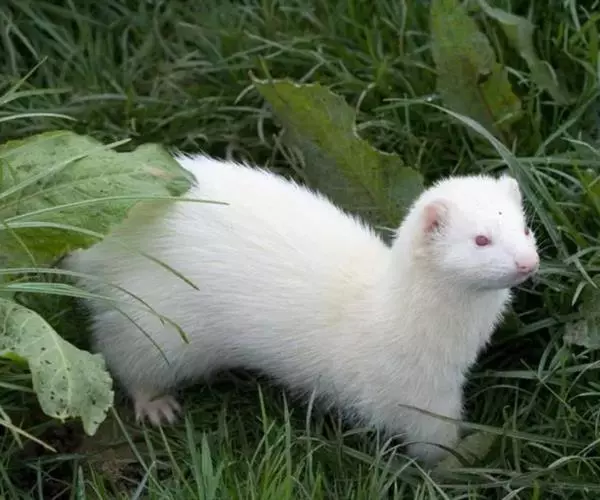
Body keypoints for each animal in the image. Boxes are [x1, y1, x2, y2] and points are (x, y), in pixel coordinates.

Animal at [61, 154, 539, 465]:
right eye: (481, 239)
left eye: (524, 227)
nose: (527, 262)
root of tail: (99, 248)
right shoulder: (418, 398)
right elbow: (433, 443)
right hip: (153, 325)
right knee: (124, 355)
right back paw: (155, 405)